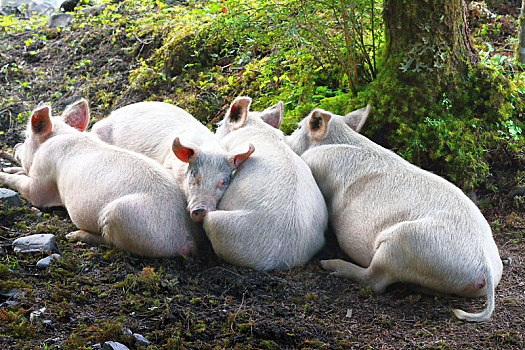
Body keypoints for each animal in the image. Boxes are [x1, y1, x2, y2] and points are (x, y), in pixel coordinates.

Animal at [0, 98, 201, 258]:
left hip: (121, 215)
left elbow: (31, 191)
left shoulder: (42, 176)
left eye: (26, 137)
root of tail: (189, 239)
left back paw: (73, 235)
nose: (15, 146)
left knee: (112, 242)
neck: (58, 135)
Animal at [286, 106, 504, 322]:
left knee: (375, 280)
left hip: (405, 242)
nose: (285, 138)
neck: (336, 139)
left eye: (298, 128)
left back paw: (329, 266)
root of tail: (484, 264)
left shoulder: (317, 165)